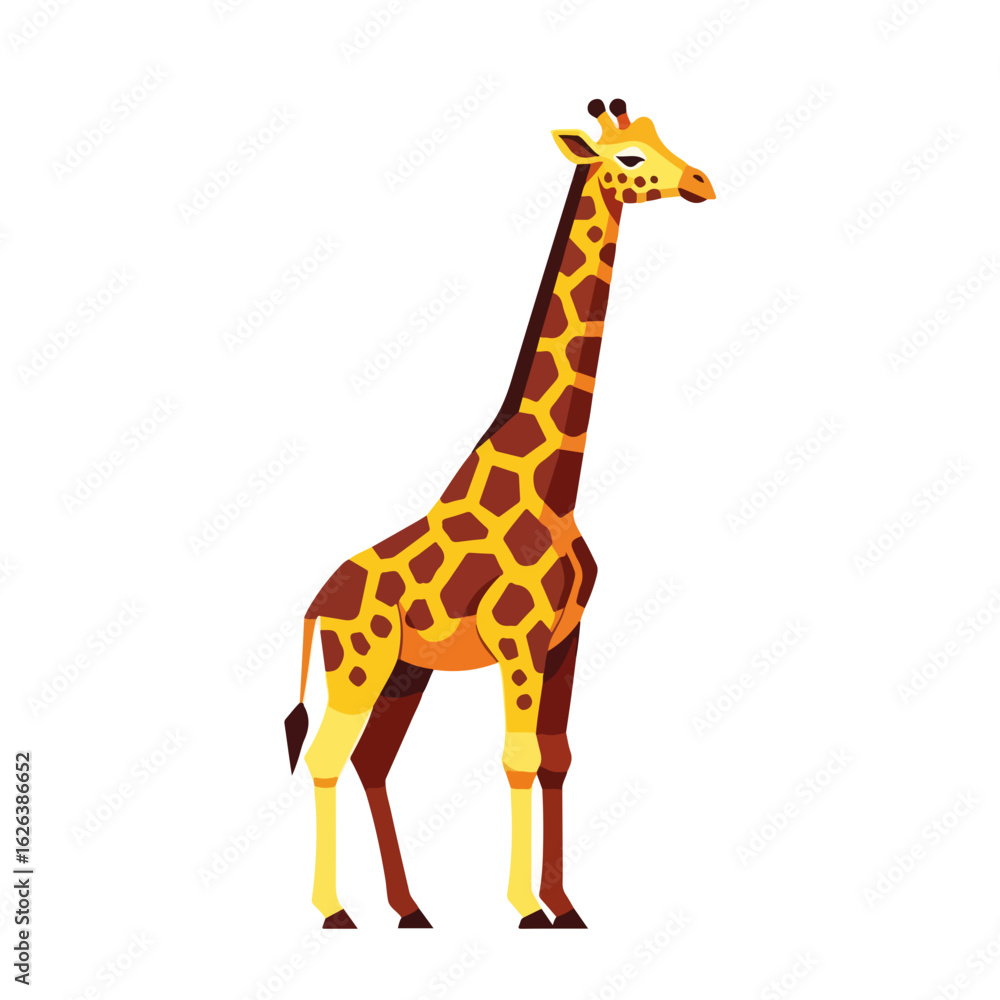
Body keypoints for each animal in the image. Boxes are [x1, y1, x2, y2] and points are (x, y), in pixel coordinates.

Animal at [284, 98, 715, 930]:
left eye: (662, 138)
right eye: (631, 157)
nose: (702, 182)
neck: (555, 484)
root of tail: (317, 603)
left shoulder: (566, 636)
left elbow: (558, 757)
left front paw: (565, 904)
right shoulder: (518, 638)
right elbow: (518, 757)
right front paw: (525, 908)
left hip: (404, 672)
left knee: (371, 761)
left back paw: (410, 909)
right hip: (359, 664)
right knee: (326, 757)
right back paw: (334, 911)